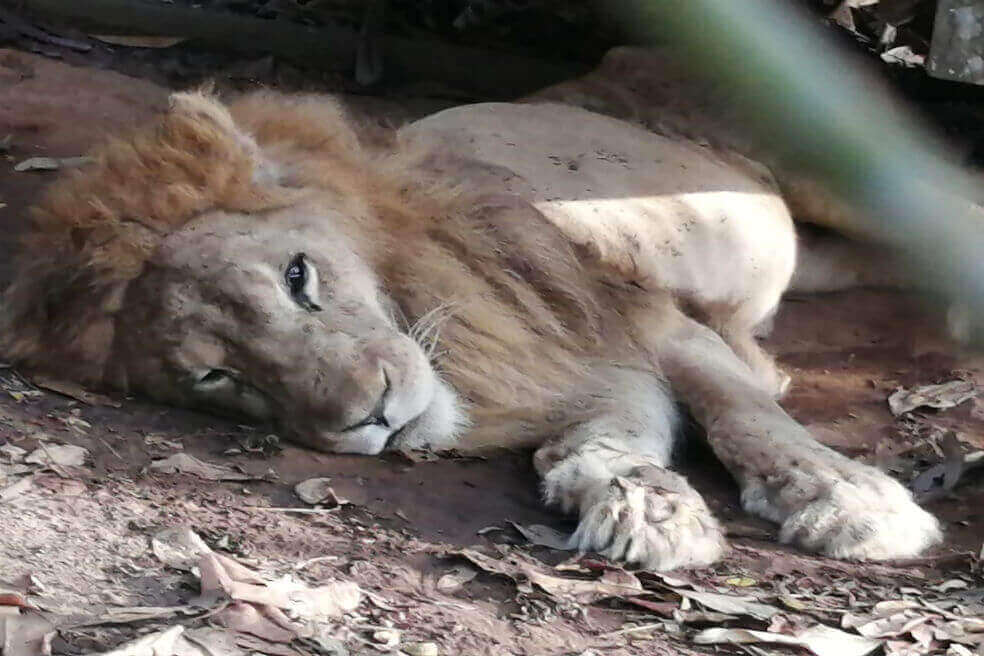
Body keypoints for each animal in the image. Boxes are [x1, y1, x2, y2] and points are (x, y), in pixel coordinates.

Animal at [0, 86, 942, 571]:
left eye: (298, 277)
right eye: (217, 378)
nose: (371, 416)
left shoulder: (632, 316)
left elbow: (746, 414)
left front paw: (850, 502)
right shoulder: (579, 365)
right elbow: (606, 435)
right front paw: (645, 504)